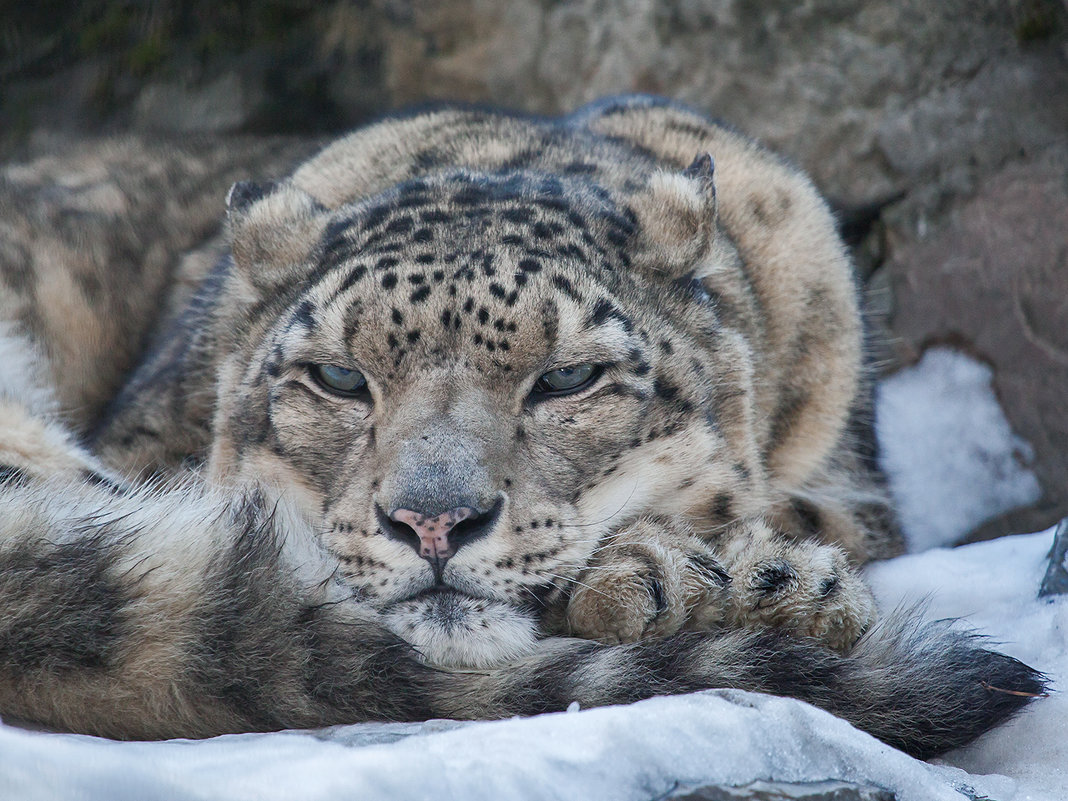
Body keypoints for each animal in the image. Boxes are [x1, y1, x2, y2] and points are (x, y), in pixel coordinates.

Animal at [0, 95, 1042, 760]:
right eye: (339, 376)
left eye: (568, 376)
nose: (431, 522)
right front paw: (716, 581)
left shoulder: (848, 481)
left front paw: (759, 580)